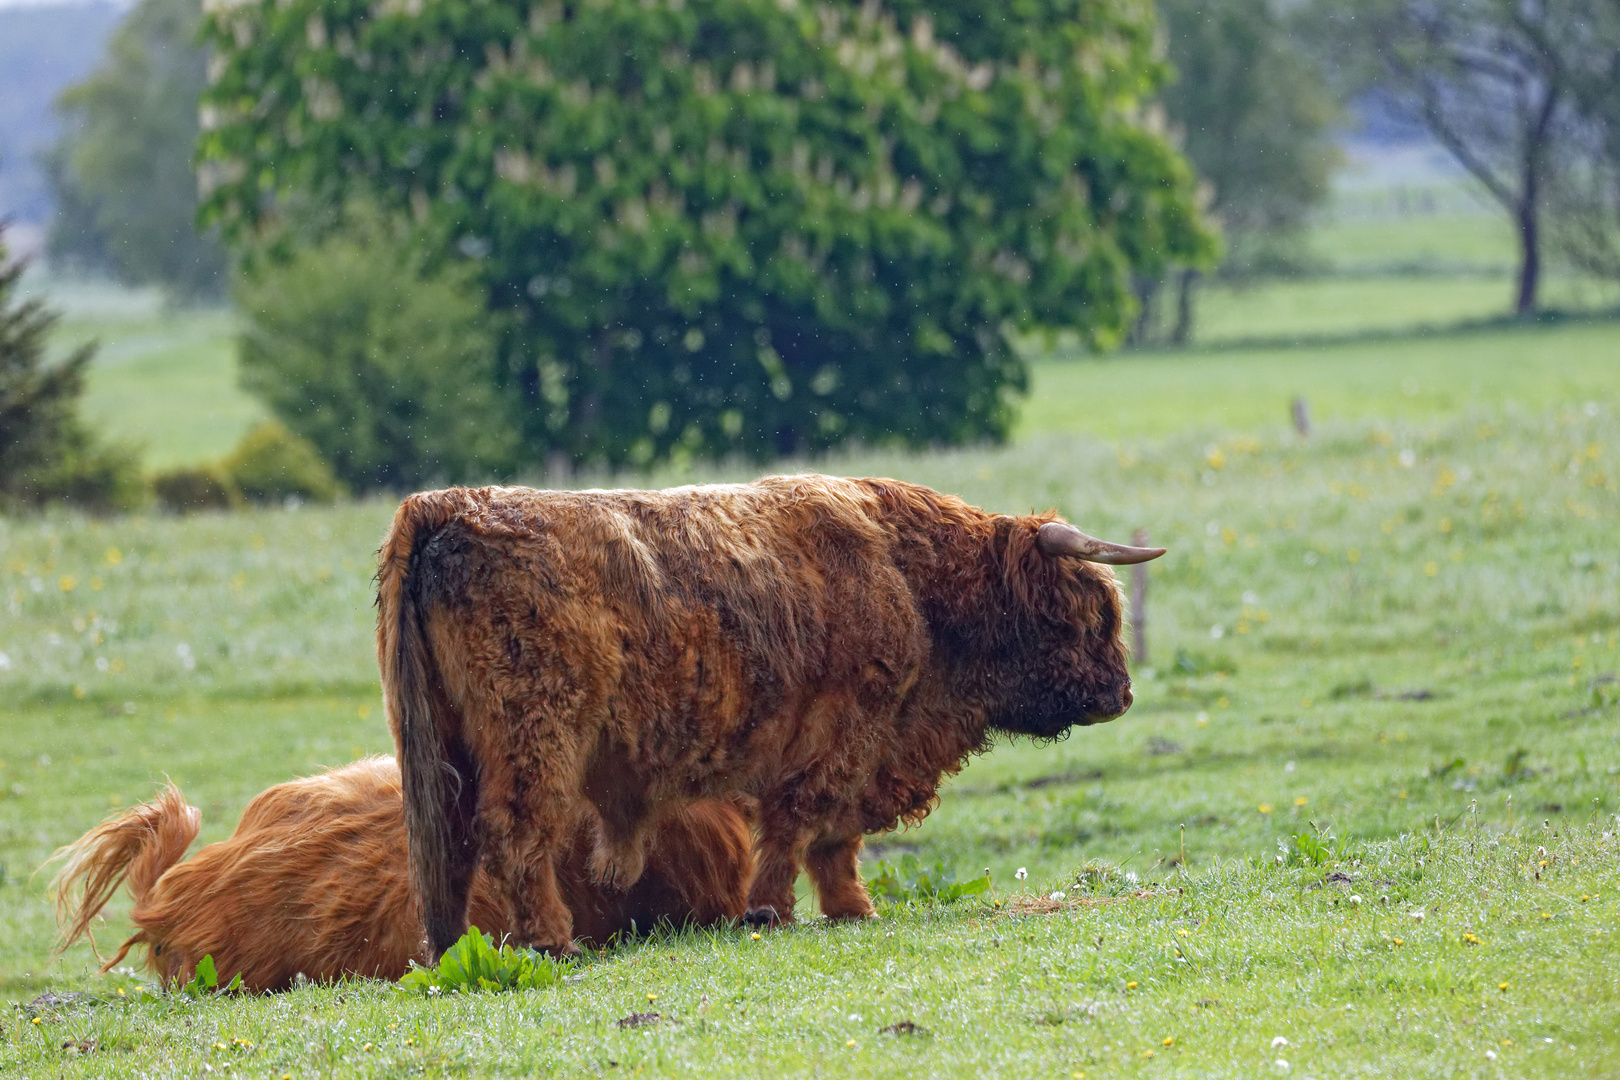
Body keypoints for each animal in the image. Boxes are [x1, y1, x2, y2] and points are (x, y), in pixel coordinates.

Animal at [379, 472, 1166, 952]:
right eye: (1087, 615)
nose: (1121, 695)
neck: (912, 581)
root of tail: (448, 506)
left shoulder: (863, 749)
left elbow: (834, 839)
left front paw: (852, 907)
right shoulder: (845, 733)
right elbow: (799, 824)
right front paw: (769, 910)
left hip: (443, 746)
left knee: (451, 848)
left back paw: (454, 948)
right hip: (536, 733)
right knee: (515, 831)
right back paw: (551, 941)